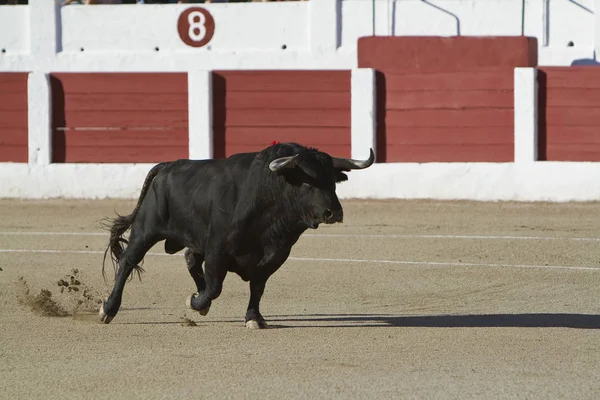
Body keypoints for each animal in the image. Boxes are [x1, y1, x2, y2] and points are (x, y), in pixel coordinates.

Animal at [100, 141, 372, 328]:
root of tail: (167, 165)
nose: (334, 212)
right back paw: (108, 309)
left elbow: (257, 286)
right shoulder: (217, 250)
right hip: (146, 230)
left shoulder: (275, 255)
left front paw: (254, 318)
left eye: (333, 181)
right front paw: (196, 302)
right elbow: (215, 287)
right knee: (128, 262)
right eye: (308, 181)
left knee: (190, 258)